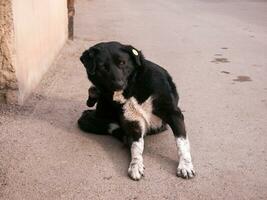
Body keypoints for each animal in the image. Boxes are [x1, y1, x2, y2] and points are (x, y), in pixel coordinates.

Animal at [78, 41, 196, 180]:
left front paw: (185, 165)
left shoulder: (173, 113)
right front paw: (135, 165)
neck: (132, 87)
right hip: (95, 114)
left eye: (122, 63)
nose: (118, 84)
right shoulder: (133, 122)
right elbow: (136, 147)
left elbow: (181, 142)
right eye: (102, 67)